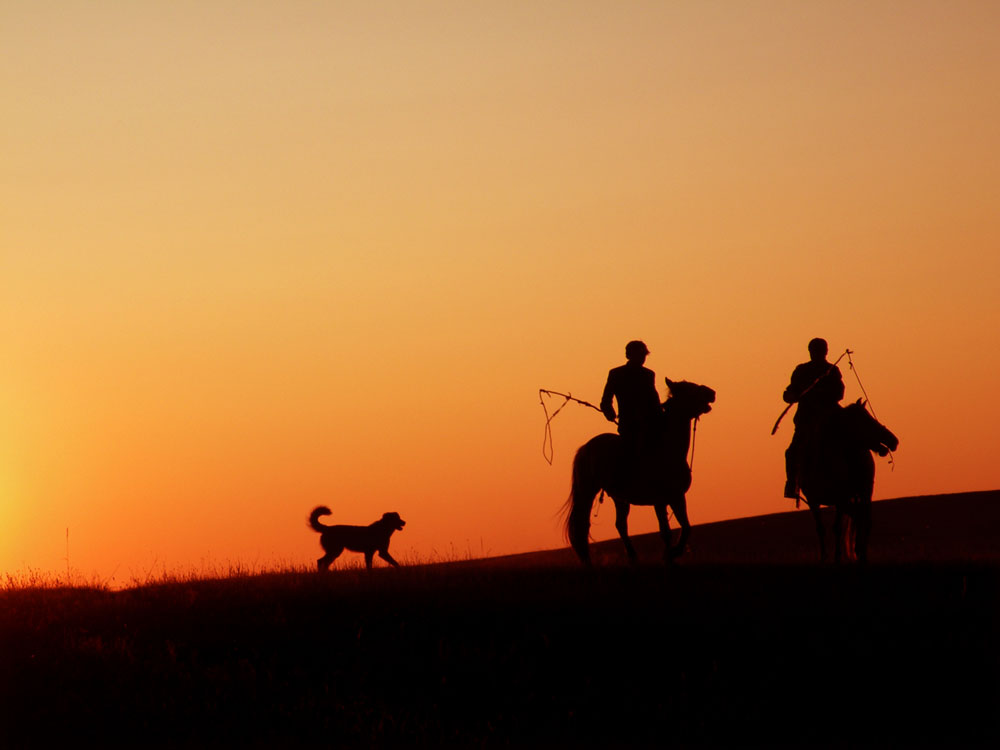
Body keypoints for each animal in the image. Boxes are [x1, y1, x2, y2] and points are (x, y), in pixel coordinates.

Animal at [564, 378, 720, 568]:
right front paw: (669, 555)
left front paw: (673, 553)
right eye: (690, 389)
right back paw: (589, 561)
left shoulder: (677, 497)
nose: (711, 393)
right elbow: (665, 531)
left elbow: (686, 526)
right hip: (587, 491)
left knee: (621, 525)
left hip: (619, 497)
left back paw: (633, 557)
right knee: (583, 524)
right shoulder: (660, 500)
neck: (667, 449)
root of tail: (585, 447)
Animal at [796, 400, 900, 564]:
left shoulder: (841, 498)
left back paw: (861, 554)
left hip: (864, 492)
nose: (893, 440)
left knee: (865, 520)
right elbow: (821, 529)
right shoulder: (813, 500)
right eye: (865, 420)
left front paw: (838, 558)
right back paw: (858, 551)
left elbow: (837, 527)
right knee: (859, 518)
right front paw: (824, 558)